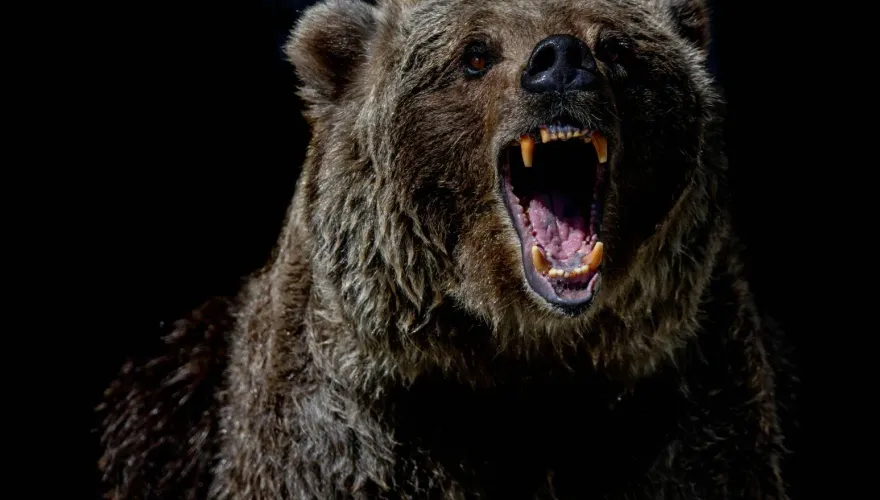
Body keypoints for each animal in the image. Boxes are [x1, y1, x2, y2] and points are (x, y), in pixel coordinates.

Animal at [97, 0, 796, 498]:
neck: (520, 356)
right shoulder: (351, 430)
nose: (561, 60)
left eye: (617, 47)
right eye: (476, 54)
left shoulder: (677, 409)